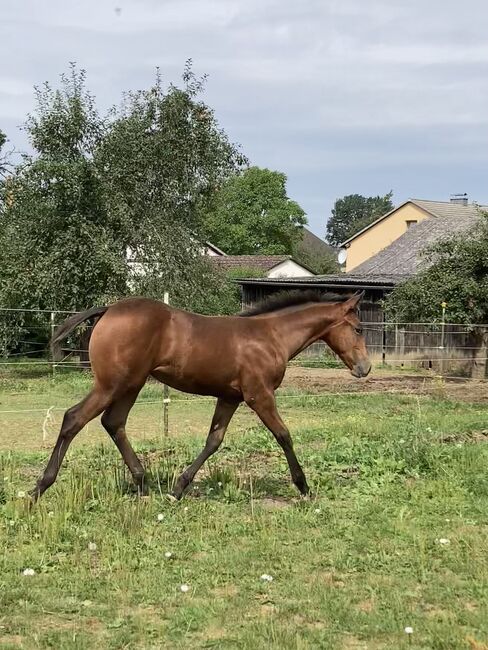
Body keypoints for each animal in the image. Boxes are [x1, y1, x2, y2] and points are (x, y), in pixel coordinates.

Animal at [30, 290, 372, 502]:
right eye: (358, 329)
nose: (365, 368)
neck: (272, 336)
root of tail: (109, 309)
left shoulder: (230, 397)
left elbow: (214, 441)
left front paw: (178, 488)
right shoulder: (259, 395)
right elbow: (284, 435)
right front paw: (303, 486)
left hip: (131, 384)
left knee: (113, 423)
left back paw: (142, 482)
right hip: (111, 384)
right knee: (74, 418)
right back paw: (40, 488)